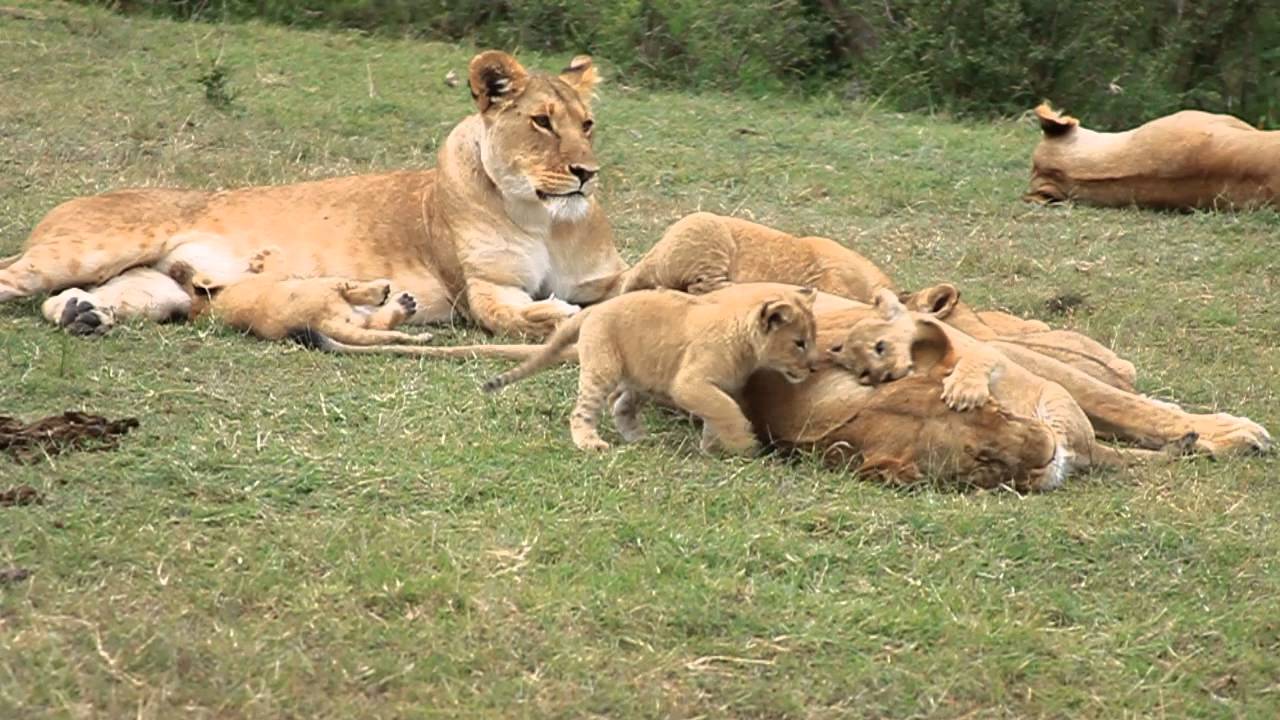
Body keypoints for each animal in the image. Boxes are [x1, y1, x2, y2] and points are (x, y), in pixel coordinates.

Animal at [1, 51, 624, 339]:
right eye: (542, 122)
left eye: (587, 125)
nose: (586, 172)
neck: (546, 219)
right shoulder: (484, 290)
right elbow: (522, 316)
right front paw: (560, 314)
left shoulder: (606, 275)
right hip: (90, 248)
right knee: (13, 274)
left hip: (161, 288)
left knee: (95, 297)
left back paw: (82, 313)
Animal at [484, 283, 820, 454]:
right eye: (799, 343)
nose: (814, 368)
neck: (745, 344)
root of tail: (594, 309)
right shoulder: (689, 383)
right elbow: (725, 410)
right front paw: (743, 444)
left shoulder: (715, 387)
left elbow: (717, 413)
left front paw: (712, 449)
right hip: (603, 367)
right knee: (583, 411)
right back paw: (590, 443)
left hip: (641, 376)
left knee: (620, 406)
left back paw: (639, 439)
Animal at [828, 289, 1193, 489]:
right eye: (861, 371)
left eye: (880, 346)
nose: (880, 377)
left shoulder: (990, 351)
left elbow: (977, 360)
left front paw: (964, 390)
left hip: (1057, 404)